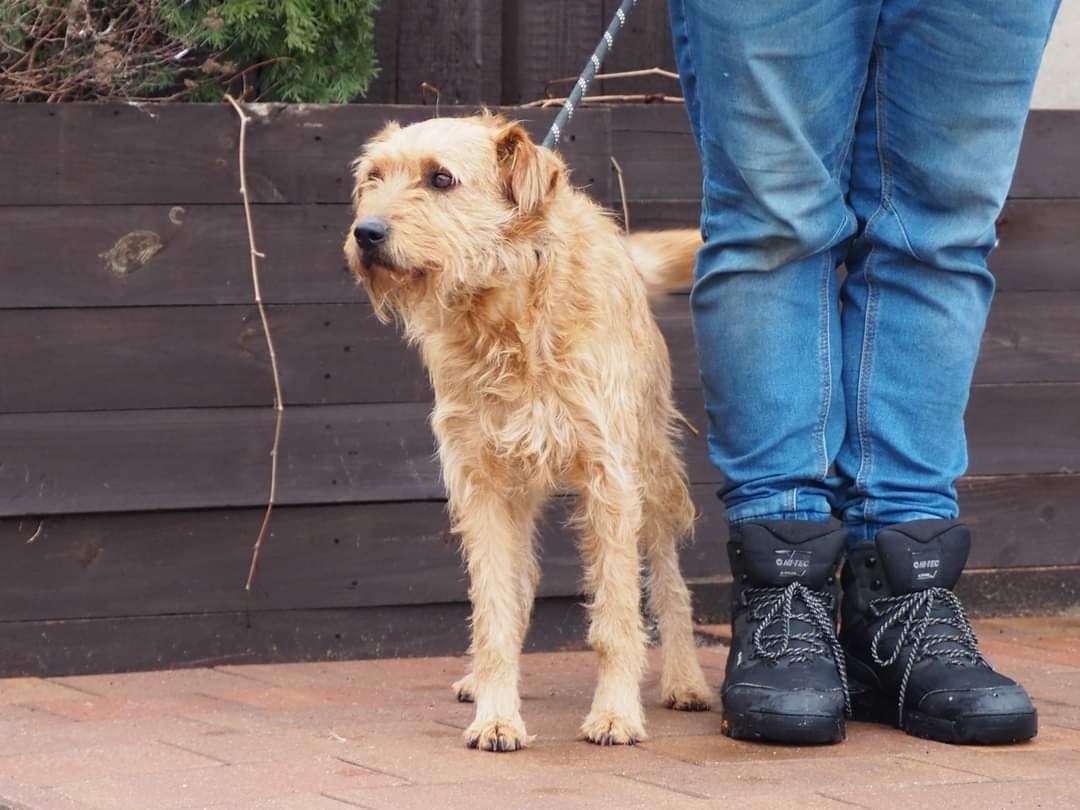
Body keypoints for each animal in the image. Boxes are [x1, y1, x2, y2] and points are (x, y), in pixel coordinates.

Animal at [343, 114, 708, 756]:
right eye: (373, 178)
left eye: (441, 178)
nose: (366, 232)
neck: (504, 313)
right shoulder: (482, 482)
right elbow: (493, 608)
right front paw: (496, 715)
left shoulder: (609, 482)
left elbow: (616, 616)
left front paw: (615, 714)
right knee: (521, 581)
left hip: (651, 470)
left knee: (668, 578)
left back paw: (684, 679)